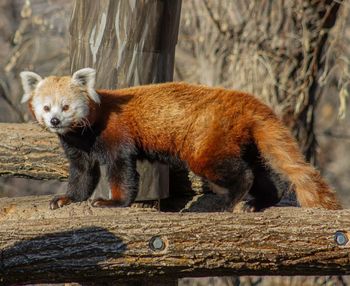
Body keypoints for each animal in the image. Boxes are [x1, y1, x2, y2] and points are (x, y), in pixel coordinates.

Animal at [19, 67, 342, 210]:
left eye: (65, 106)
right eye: (46, 107)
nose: (55, 121)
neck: (85, 134)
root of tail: (245, 100)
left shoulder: (114, 135)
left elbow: (122, 170)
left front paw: (113, 202)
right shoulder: (78, 146)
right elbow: (83, 175)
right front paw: (67, 198)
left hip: (206, 136)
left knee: (236, 170)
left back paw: (233, 199)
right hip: (244, 138)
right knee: (262, 170)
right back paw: (261, 200)